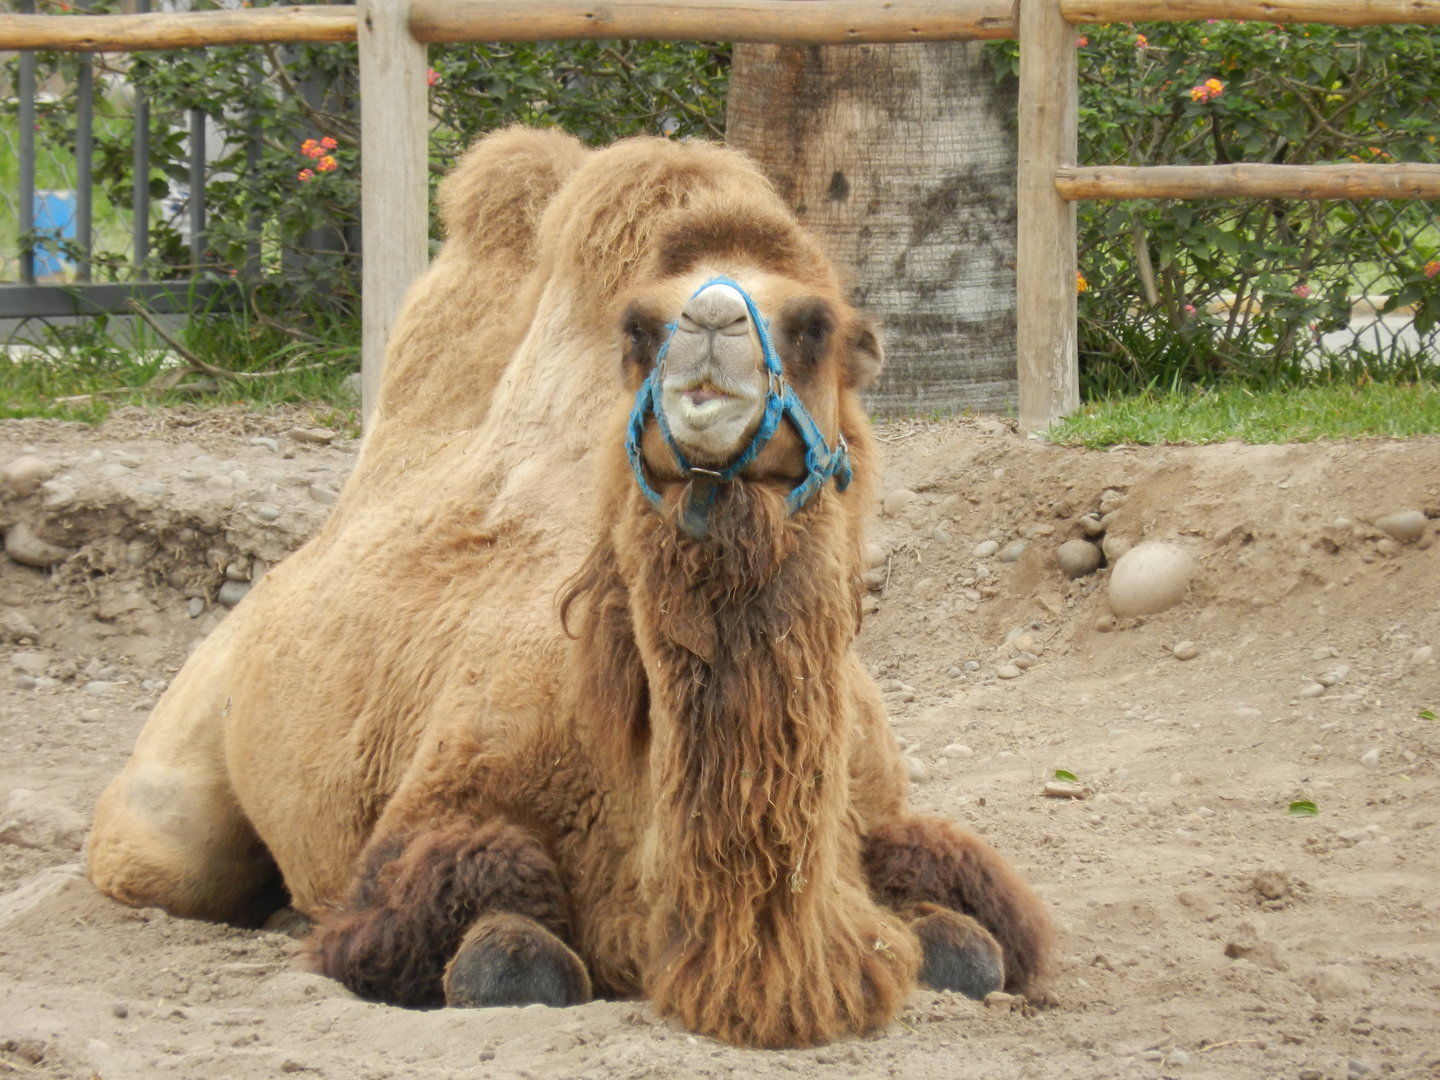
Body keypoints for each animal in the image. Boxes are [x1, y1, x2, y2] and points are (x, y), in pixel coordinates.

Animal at [87, 127, 1055, 1049]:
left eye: (815, 324)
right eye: (639, 328)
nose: (710, 322)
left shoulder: (884, 821)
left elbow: (969, 950)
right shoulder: (437, 823)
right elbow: (512, 967)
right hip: (177, 783)